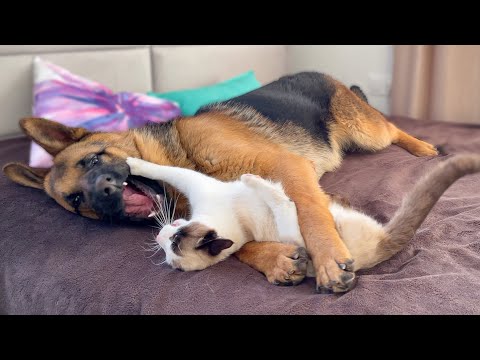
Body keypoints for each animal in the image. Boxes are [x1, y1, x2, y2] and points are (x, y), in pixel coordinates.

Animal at [4, 72, 438, 292]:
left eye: (94, 159)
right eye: (78, 201)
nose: (107, 194)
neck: (182, 153)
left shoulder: (286, 166)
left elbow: (310, 213)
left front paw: (329, 258)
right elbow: (238, 243)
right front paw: (274, 258)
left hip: (366, 131)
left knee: (392, 129)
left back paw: (425, 148)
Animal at [126, 155, 480, 284]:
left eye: (174, 242)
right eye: (168, 252)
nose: (158, 238)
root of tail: (381, 247)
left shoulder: (195, 183)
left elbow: (160, 168)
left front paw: (129, 163)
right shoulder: (289, 237)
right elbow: (283, 205)